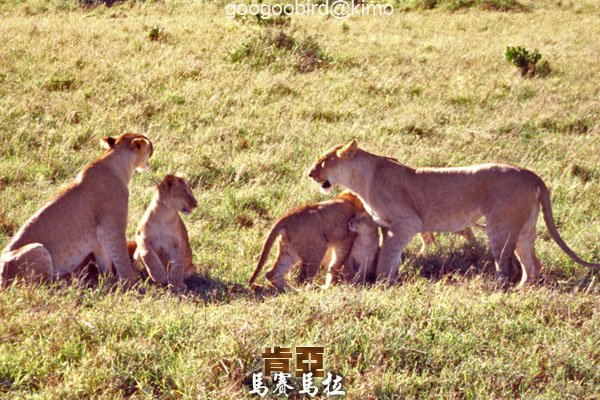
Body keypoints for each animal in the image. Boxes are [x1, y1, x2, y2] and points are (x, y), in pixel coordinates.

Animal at [0, 133, 154, 286]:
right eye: (149, 144)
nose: (153, 146)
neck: (119, 165)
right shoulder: (112, 228)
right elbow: (122, 259)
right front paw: (131, 284)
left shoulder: (98, 239)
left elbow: (105, 263)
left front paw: (109, 282)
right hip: (38, 248)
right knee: (44, 286)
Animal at [310, 140, 600, 288]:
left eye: (323, 161)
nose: (309, 173)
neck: (362, 178)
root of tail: (531, 174)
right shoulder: (386, 226)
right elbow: (388, 255)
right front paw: (388, 280)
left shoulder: (406, 223)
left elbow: (386, 256)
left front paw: (382, 284)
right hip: (525, 227)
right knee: (532, 265)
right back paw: (521, 291)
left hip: (500, 226)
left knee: (505, 265)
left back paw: (498, 291)